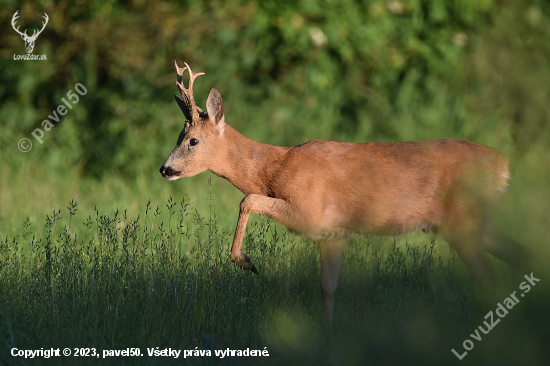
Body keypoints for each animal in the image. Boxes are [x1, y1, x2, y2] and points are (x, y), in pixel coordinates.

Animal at [161, 61, 532, 324]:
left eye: (193, 141)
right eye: (178, 137)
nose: (165, 169)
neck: (275, 168)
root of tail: (503, 167)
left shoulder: (309, 211)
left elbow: (247, 199)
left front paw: (245, 261)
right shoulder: (332, 234)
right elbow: (327, 288)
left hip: (463, 223)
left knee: (490, 276)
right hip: (476, 223)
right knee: (519, 254)